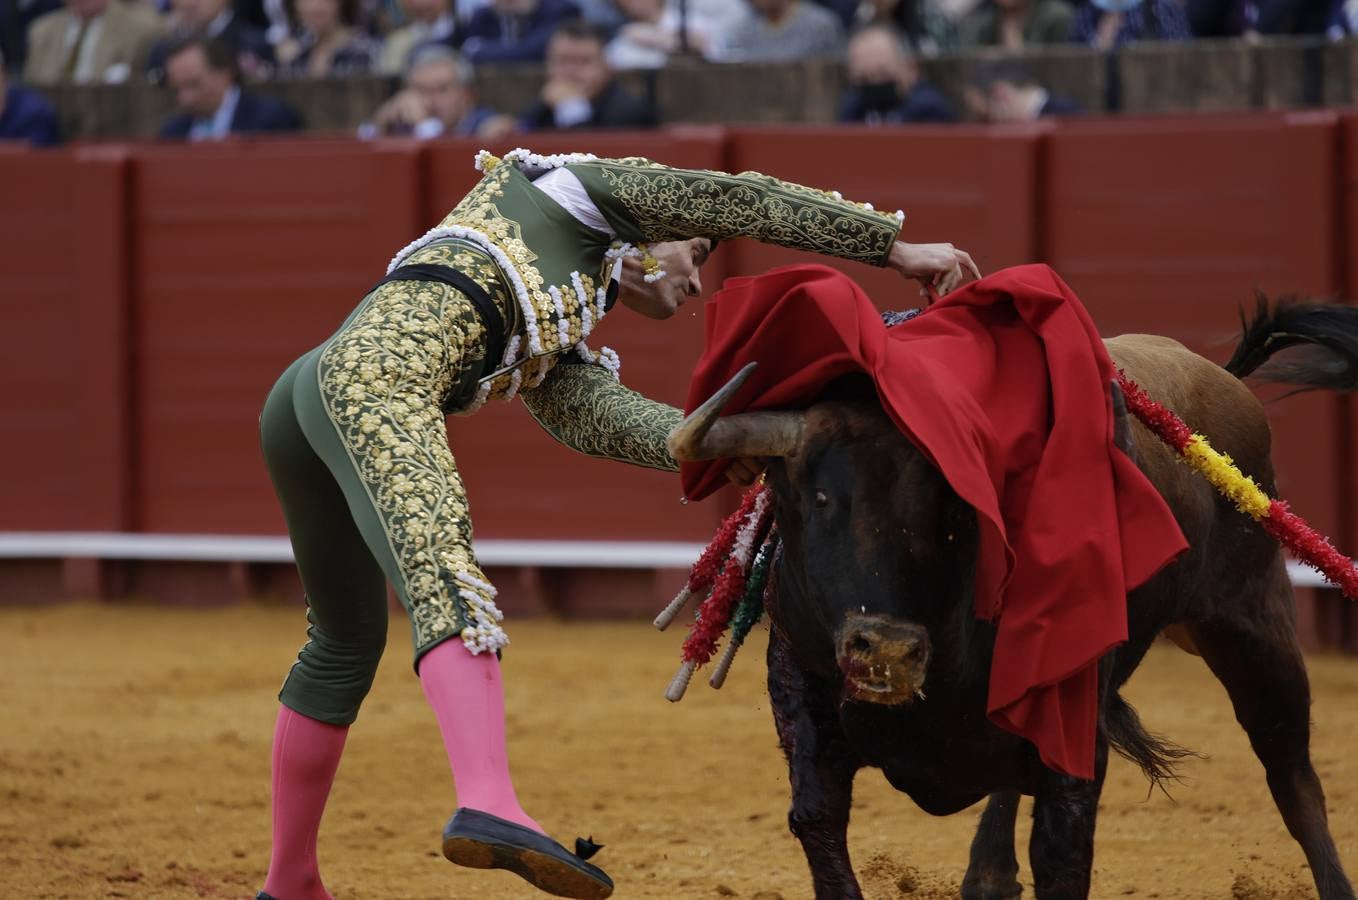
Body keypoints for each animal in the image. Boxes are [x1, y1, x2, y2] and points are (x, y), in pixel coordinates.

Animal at [665, 298, 1358, 895]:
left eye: (955, 508)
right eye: (817, 499)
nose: (885, 650)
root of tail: (1220, 382)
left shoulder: (1074, 741)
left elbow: (1061, 851)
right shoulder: (804, 702)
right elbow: (819, 827)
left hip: (1255, 626)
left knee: (1293, 777)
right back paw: (987, 875)